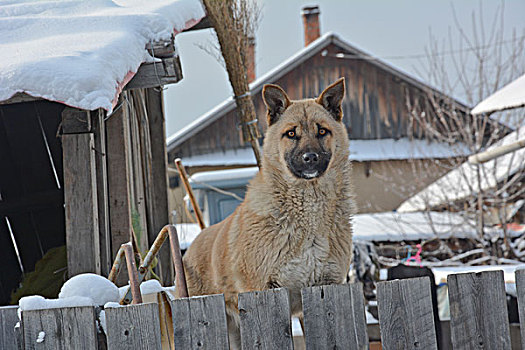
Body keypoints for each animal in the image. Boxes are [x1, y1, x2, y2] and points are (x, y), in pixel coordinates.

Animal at [182, 77, 354, 348]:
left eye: (322, 131)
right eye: (291, 133)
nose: (310, 158)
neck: (307, 210)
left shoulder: (323, 290)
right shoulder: (264, 291)